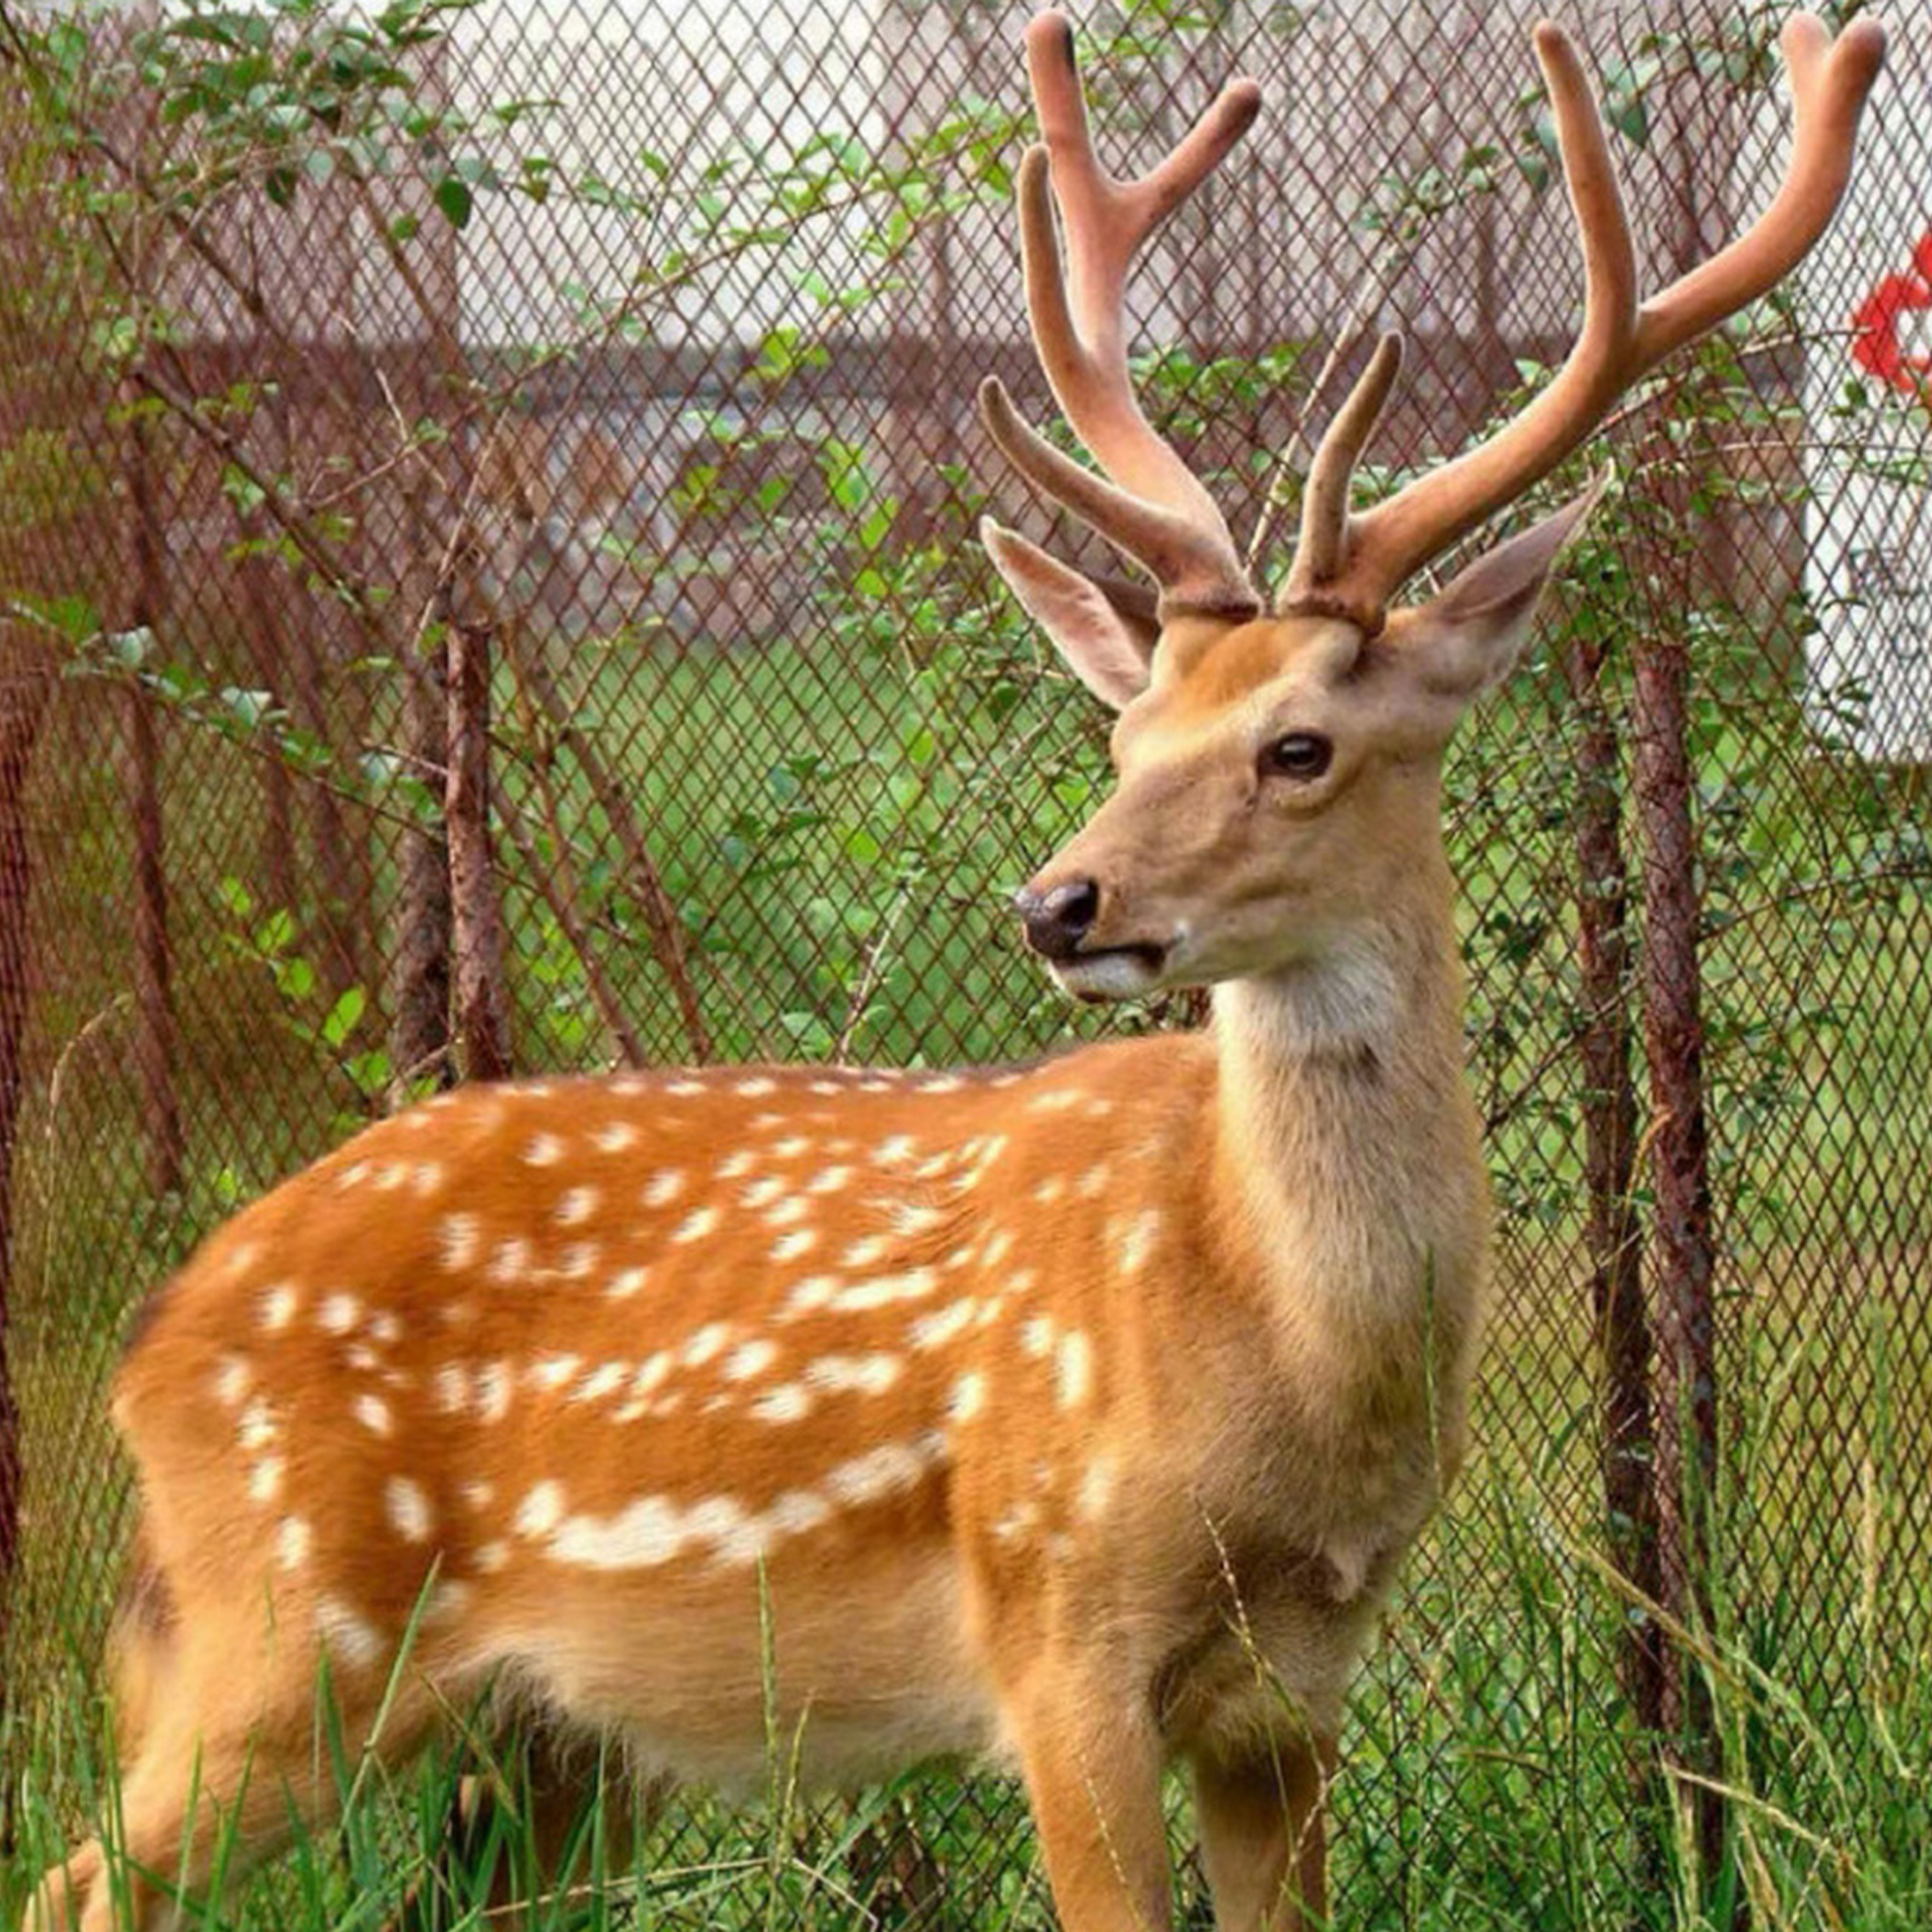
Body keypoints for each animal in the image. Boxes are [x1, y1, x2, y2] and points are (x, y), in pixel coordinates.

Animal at [25, 11, 1881, 1932]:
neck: (1285, 1372)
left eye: (1299, 746)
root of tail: (156, 1340)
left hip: (553, 1739)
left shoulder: (1296, 1689)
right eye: (1128, 728)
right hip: (285, 1625)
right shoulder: (1052, 1616)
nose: (1059, 903)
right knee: (81, 1875)